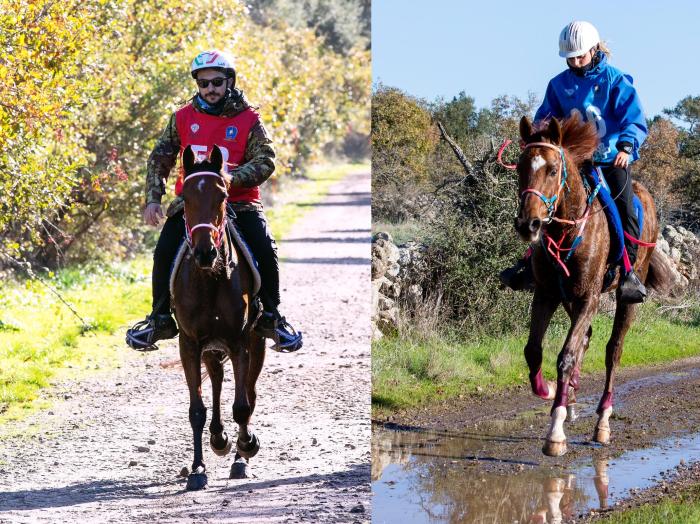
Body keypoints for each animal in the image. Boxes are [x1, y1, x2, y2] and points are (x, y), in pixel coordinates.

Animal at [174, 143, 264, 488]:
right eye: (185, 197)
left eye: (222, 195)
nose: (204, 252)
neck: (210, 279)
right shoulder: (189, 344)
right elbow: (196, 409)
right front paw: (198, 469)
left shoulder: (240, 342)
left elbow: (242, 406)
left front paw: (245, 448)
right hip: (210, 348)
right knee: (215, 381)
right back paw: (218, 437)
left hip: (254, 344)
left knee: (249, 393)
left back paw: (238, 451)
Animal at [516, 113, 668, 454]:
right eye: (520, 168)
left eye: (553, 170)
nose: (528, 224)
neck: (566, 231)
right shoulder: (547, 294)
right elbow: (533, 350)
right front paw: (547, 390)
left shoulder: (589, 298)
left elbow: (566, 356)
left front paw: (555, 432)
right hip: (569, 299)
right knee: (585, 337)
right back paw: (571, 396)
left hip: (625, 298)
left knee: (613, 350)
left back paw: (602, 422)